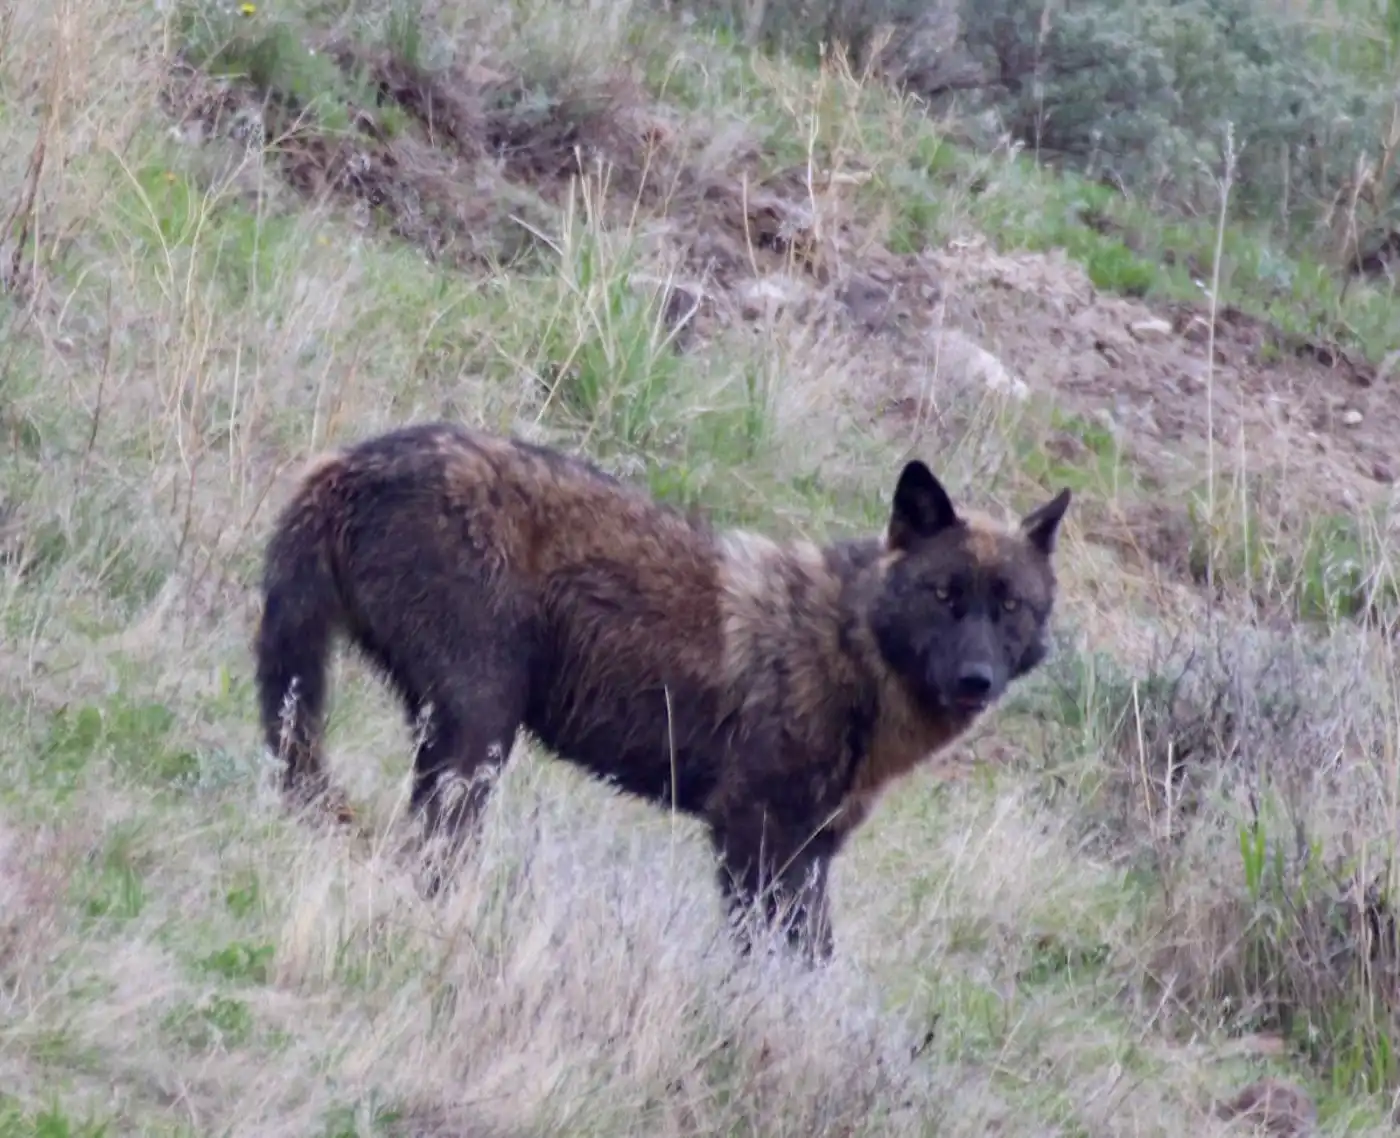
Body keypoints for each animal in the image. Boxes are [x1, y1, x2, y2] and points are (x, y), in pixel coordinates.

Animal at [253, 421, 1071, 962]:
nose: (976, 680)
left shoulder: (809, 854)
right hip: (478, 733)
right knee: (430, 849)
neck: (847, 648)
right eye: (944, 595)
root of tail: (346, 463)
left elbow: (816, 963)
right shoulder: (751, 835)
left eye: (1010, 606)